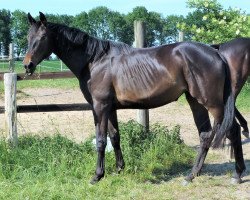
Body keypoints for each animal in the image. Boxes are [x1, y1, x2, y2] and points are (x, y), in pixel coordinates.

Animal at [23, 12, 242, 184]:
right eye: (28, 36)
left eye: (43, 36)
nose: (27, 65)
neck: (94, 61)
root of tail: (216, 53)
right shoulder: (110, 108)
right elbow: (114, 137)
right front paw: (119, 168)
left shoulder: (100, 107)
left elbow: (101, 140)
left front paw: (97, 175)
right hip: (195, 101)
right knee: (205, 134)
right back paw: (192, 175)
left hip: (213, 103)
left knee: (232, 130)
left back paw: (237, 175)